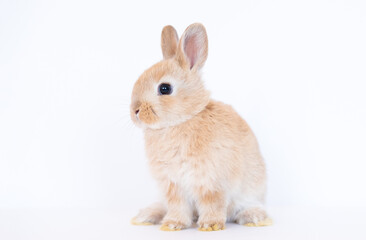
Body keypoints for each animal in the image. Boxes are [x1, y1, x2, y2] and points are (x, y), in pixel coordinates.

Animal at [130, 23, 270, 232]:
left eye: (165, 88)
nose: (135, 111)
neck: (182, 121)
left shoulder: (212, 182)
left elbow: (212, 203)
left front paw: (211, 225)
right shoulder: (173, 186)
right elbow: (177, 206)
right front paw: (172, 224)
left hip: (252, 190)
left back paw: (255, 217)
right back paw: (145, 216)